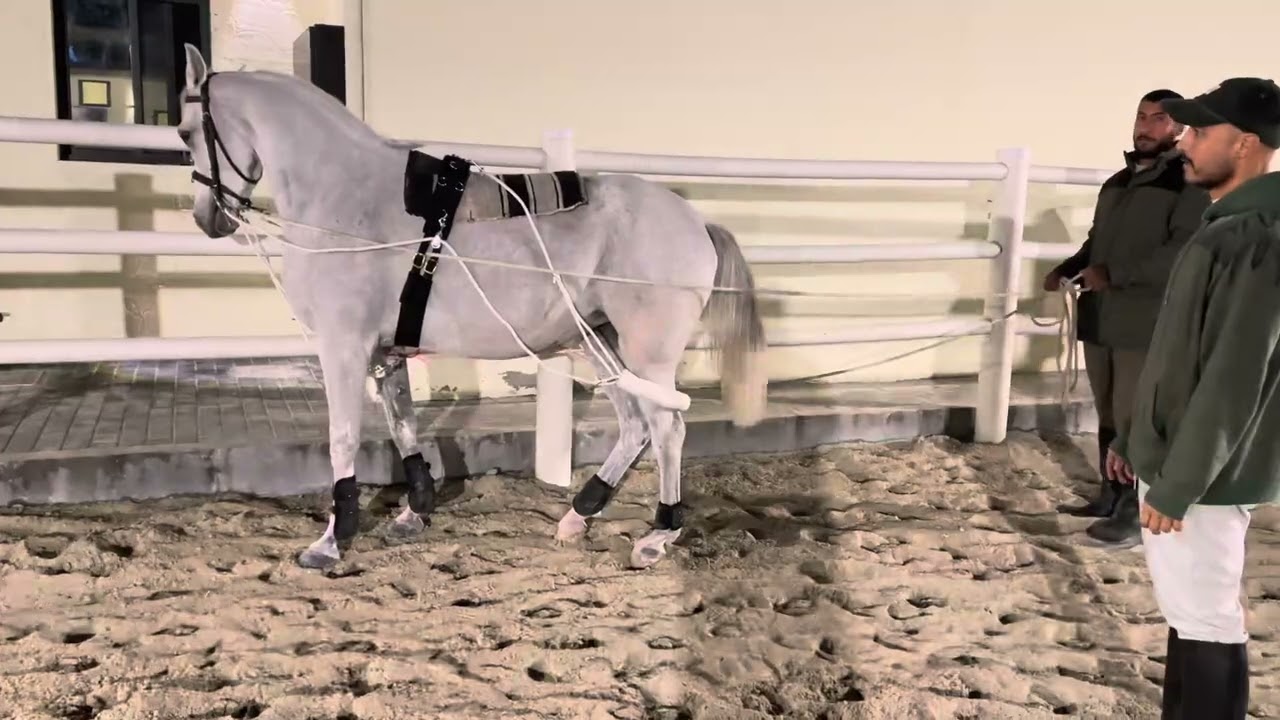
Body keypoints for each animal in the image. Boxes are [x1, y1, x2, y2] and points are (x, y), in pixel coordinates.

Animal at [175, 43, 768, 570]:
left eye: (184, 133)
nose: (208, 217)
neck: (344, 199)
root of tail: (696, 222)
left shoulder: (342, 346)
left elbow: (342, 436)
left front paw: (330, 541)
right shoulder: (386, 350)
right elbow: (402, 424)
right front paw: (413, 513)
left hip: (647, 354)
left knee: (667, 430)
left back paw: (658, 535)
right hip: (600, 343)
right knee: (635, 426)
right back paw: (578, 516)